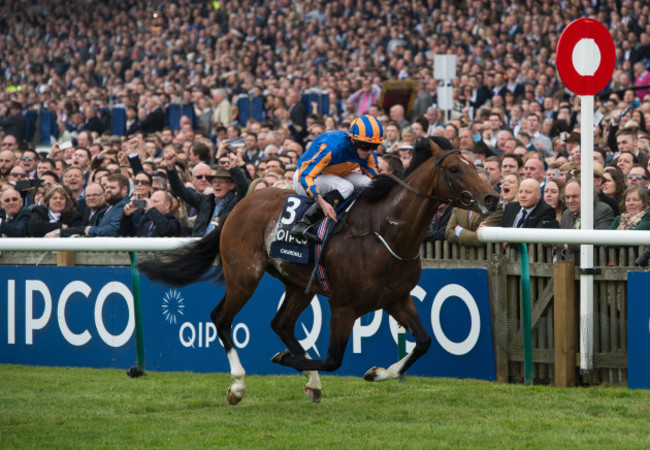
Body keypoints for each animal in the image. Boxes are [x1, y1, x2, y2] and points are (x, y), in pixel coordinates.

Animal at [139, 136, 498, 404]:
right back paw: (239, 385)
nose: (492, 197)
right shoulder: (344, 306)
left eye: (478, 166)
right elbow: (333, 359)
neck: (385, 231)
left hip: (299, 285)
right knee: (221, 318)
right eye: (455, 168)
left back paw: (311, 382)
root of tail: (239, 205)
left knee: (281, 324)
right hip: (244, 276)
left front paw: (378, 372)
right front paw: (285, 360)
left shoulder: (397, 298)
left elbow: (423, 342)